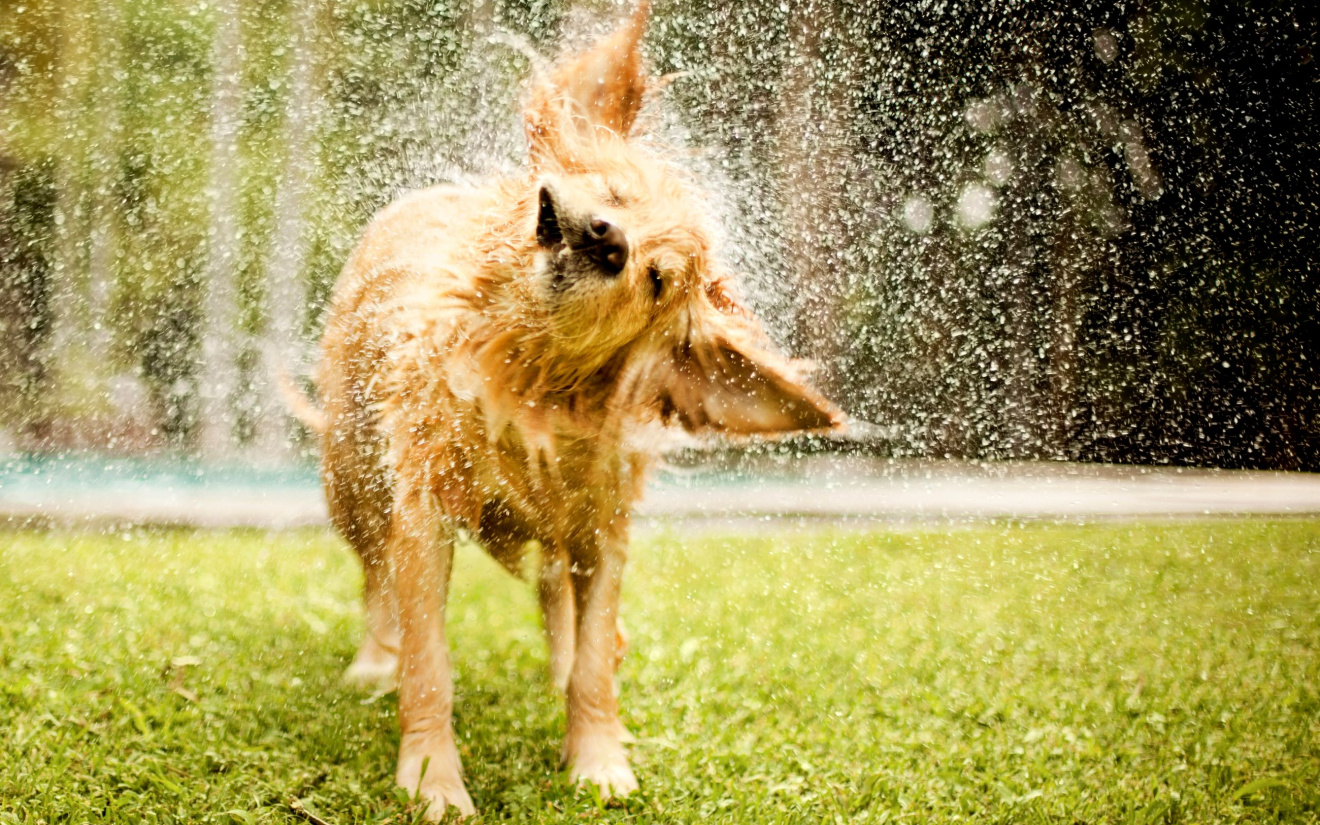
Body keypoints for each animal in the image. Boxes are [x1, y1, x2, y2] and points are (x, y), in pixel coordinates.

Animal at [304, 3, 839, 813]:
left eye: (657, 279)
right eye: (614, 195)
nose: (606, 239)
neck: (526, 377)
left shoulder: (605, 520)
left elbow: (593, 660)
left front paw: (598, 757)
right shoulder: (424, 509)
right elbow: (428, 662)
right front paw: (433, 779)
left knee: (560, 592)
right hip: (356, 476)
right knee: (374, 576)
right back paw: (372, 660)